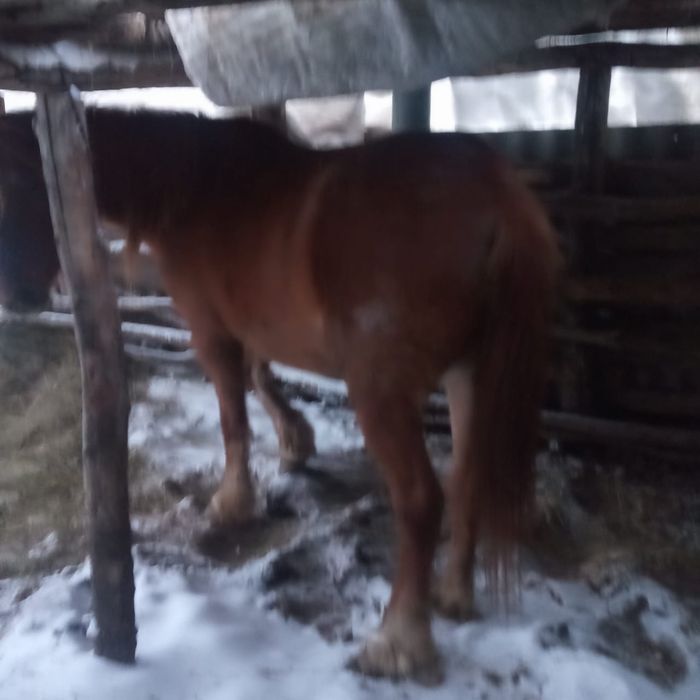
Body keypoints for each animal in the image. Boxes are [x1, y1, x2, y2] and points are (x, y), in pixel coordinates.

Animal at [0, 108, 560, 683]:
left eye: (19, 184)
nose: (17, 298)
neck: (199, 185)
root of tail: (498, 197)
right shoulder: (251, 322)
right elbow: (262, 377)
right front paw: (295, 441)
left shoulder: (211, 331)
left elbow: (234, 416)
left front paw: (233, 501)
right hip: (469, 376)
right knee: (469, 479)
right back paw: (453, 594)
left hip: (381, 390)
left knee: (421, 499)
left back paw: (398, 640)